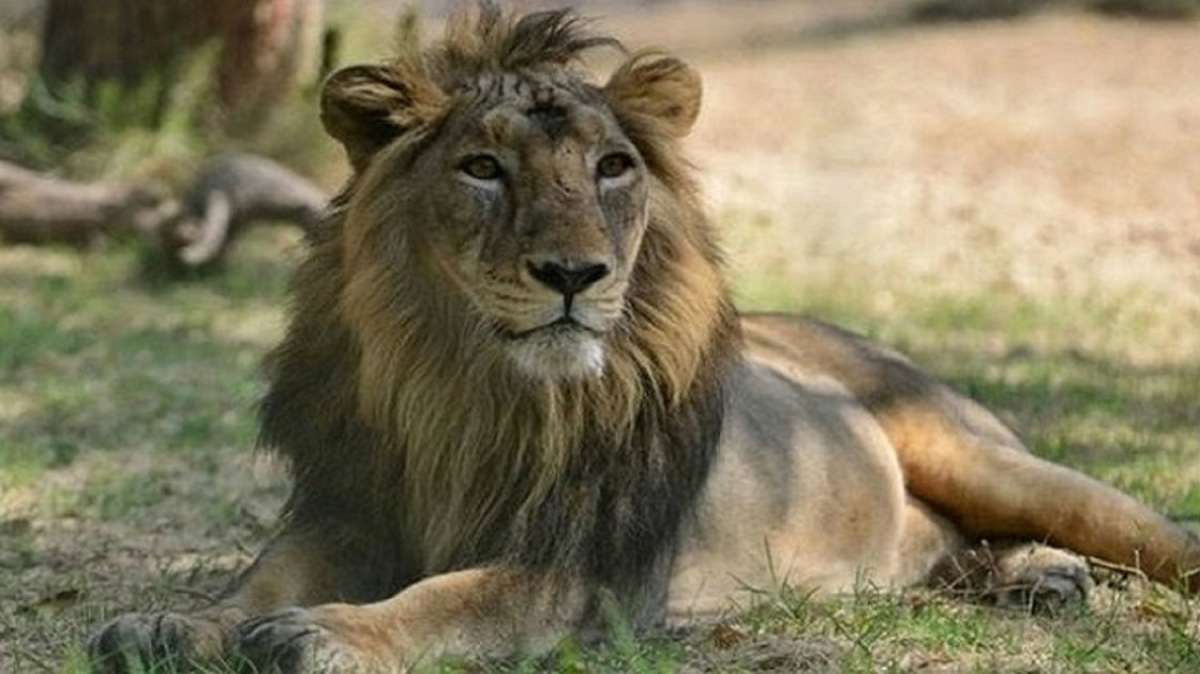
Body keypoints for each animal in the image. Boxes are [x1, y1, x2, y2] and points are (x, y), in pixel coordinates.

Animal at [89, 4, 1200, 673]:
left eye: (612, 166)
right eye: (483, 167)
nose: (575, 273)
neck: (465, 388)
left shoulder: (578, 571)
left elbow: (446, 599)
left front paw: (329, 632)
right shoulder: (345, 509)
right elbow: (259, 577)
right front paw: (176, 623)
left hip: (988, 457)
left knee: (1147, 535)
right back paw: (1031, 578)